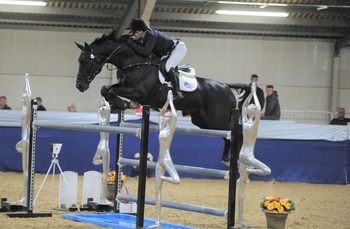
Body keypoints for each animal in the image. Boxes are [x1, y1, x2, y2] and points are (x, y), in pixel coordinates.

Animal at [75, 29, 253, 164]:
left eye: (85, 61)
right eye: (79, 60)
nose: (79, 86)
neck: (135, 62)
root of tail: (225, 86)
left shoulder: (140, 93)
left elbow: (110, 90)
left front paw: (123, 104)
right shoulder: (125, 86)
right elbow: (106, 89)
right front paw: (119, 105)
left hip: (218, 119)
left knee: (237, 131)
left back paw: (237, 158)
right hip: (204, 122)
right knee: (227, 136)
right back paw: (227, 158)